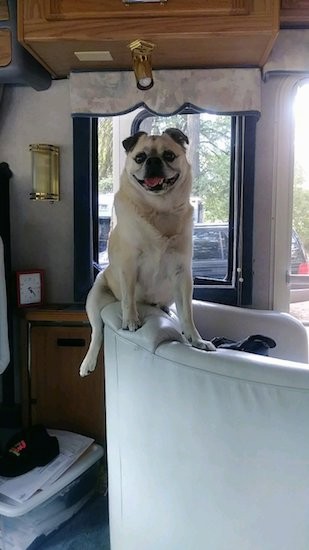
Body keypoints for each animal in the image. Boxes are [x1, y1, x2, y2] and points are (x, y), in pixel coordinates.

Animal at [79, 129, 214, 380]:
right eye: (140, 157)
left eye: (169, 155)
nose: (152, 161)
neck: (159, 209)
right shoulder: (129, 266)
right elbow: (129, 298)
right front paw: (131, 321)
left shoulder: (182, 275)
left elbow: (188, 313)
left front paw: (196, 340)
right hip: (95, 298)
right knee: (97, 331)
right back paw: (88, 362)